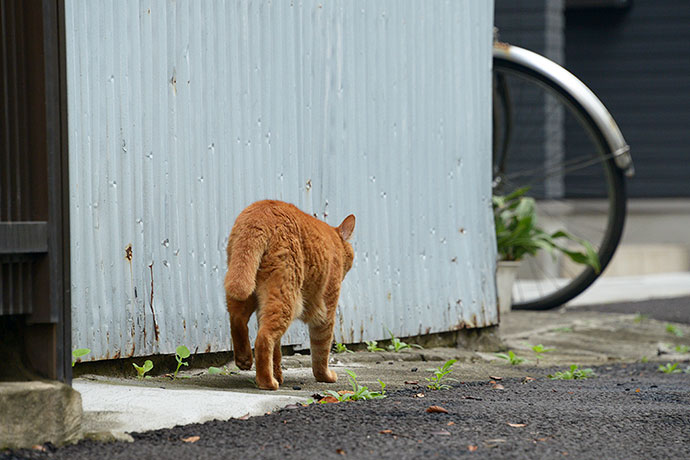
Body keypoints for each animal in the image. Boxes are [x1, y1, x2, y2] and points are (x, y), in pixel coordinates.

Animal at [224, 199, 354, 390]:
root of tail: (260, 212)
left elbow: (277, 351)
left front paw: (278, 373)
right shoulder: (326, 311)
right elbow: (321, 351)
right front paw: (326, 376)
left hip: (245, 286)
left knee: (238, 320)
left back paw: (245, 360)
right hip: (286, 297)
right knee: (263, 338)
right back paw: (267, 382)